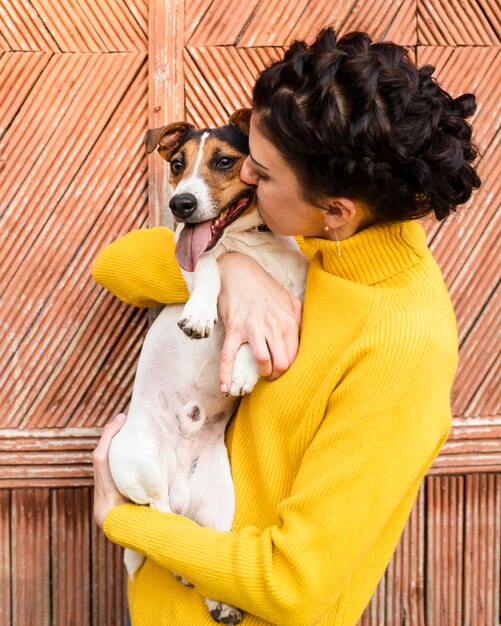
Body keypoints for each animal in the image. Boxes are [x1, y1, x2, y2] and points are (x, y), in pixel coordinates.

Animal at [107, 109, 306, 620]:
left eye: (224, 161)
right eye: (177, 163)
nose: (180, 205)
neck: (250, 241)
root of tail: (179, 485)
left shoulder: (295, 305)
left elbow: (259, 336)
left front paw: (243, 370)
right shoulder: (190, 260)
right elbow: (213, 263)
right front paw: (199, 314)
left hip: (219, 504)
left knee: (203, 548)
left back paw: (218, 598)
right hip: (135, 458)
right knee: (157, 518)